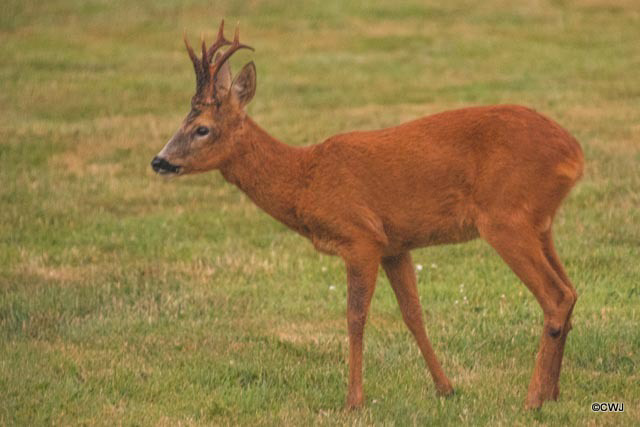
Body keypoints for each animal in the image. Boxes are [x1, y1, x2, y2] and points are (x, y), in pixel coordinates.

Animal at [151, 20, 584, 412]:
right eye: (182, 122)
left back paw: (532, 400)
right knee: (571, 291)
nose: (159, 161)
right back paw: (553, 394)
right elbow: (413, 314)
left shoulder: (360, 237)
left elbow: (355, 317)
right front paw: (446, 388)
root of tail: (574, 153)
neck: (304, 178)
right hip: (539, 222)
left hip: (505, 217)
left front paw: (353, 401)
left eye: (202, 128)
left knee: (556, 296)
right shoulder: (395, 244)